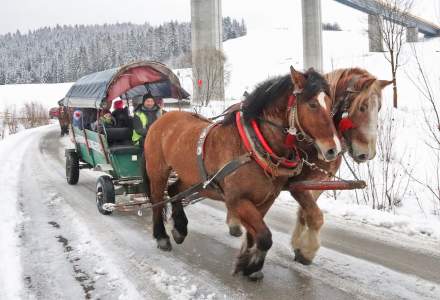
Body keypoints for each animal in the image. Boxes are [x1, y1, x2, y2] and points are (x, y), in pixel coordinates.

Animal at [144, 67, 340, 278]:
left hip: (193, 178)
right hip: (158, 171)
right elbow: (265, 236)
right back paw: (162, 237)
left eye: (331, 105)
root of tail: (164, 117)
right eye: (312, 104)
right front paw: (252, 265)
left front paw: (248, 262)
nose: (333, 150)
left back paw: (180, 229)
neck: (253, 147)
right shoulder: (237, 200)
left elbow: (256, 234)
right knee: (157, 201)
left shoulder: (266, 200)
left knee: (174, 190)